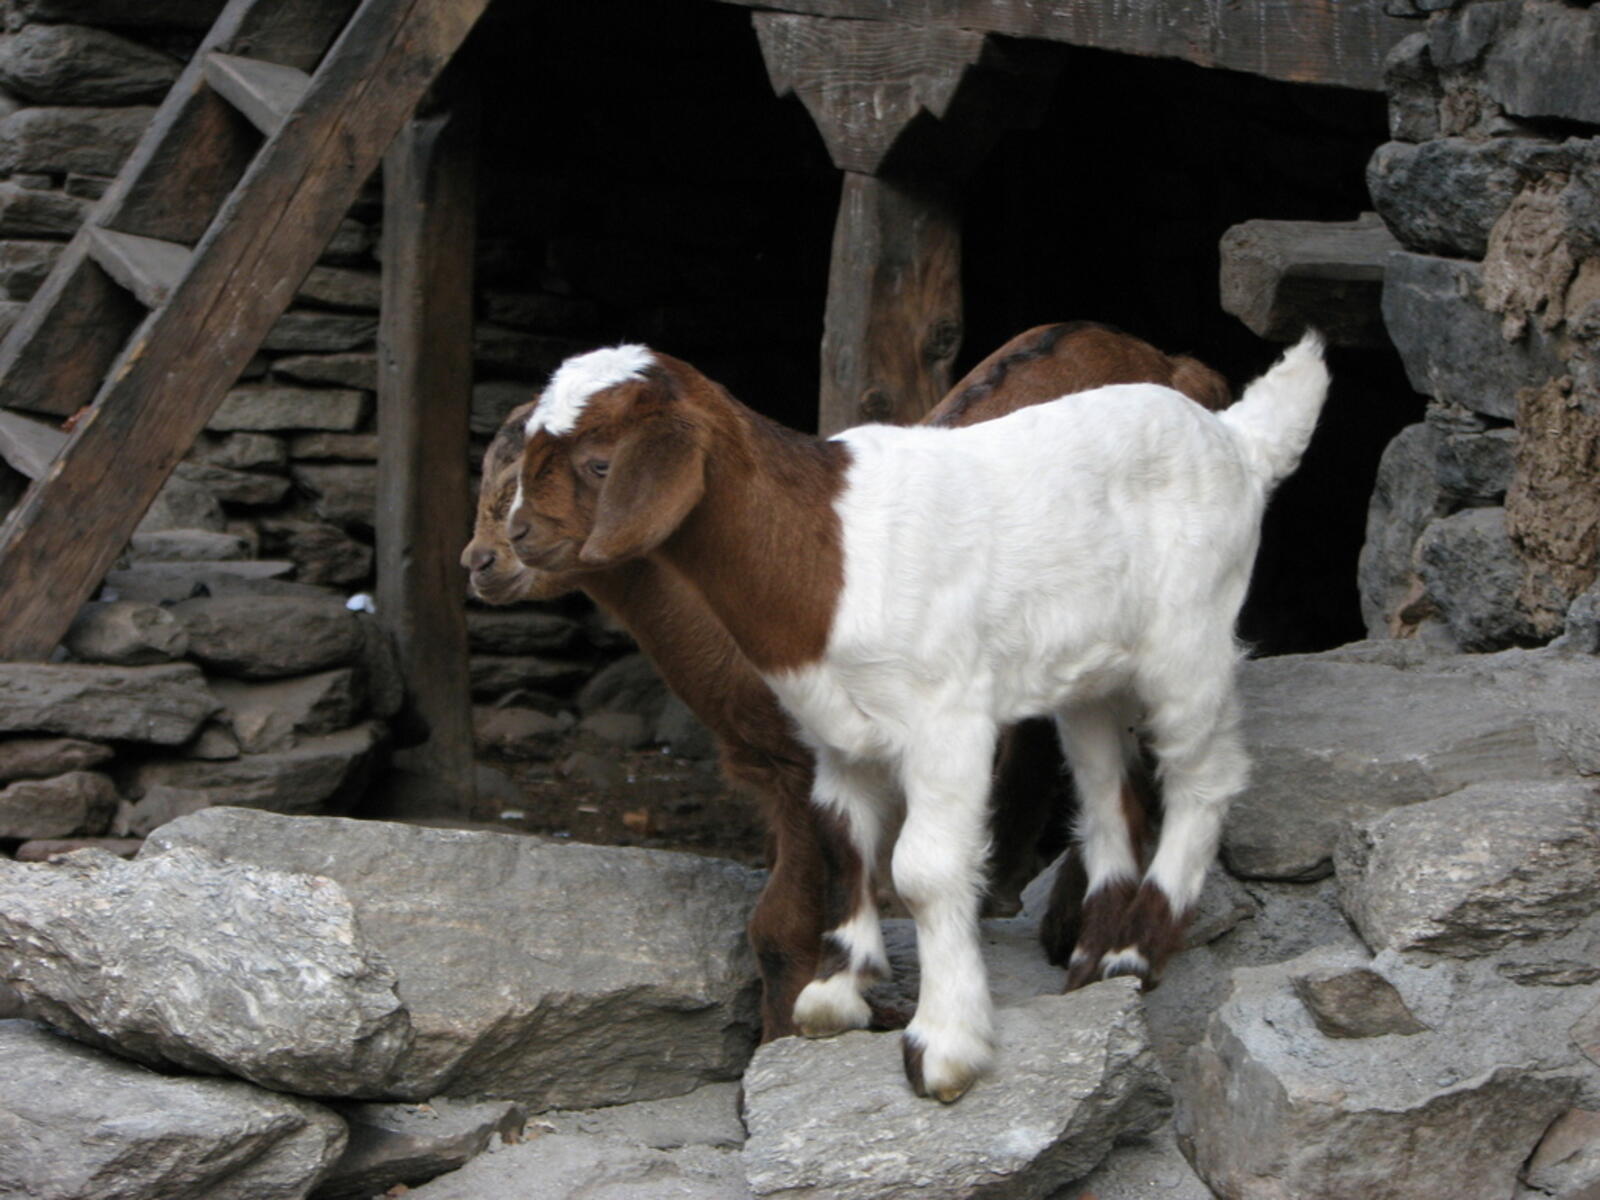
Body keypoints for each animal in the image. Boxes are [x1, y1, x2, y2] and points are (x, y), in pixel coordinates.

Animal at [502, 333, 1326, 1102]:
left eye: (599, 464)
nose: (515, 538)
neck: (826, 553)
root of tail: (1237, 438)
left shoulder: (947, 722)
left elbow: (922, 872)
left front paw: (945, 1045)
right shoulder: (834, 734)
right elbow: (844, 846)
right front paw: (837, 993)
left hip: (1188, 641)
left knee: (1203, 778)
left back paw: (1140, 948)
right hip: (1090, 677)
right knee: (1106, 796)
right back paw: (1095, 960)